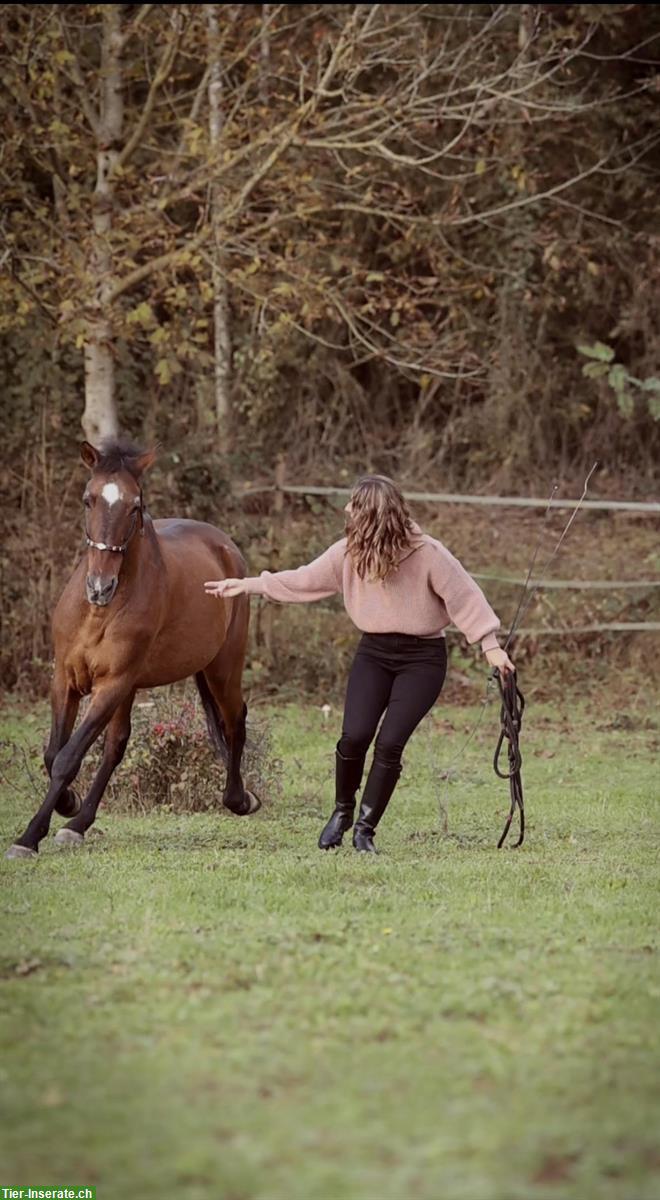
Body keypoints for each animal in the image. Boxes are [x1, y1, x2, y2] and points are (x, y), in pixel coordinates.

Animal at [7, 441, 262, 864]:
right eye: (88, 499)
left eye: (135, 505)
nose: (100, 586)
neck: (97, 613)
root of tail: (225, 547)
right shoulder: (66, 680)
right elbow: (54, 754)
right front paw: (68, 806)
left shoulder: (111, 684)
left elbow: (67, 758)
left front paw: (29, 837)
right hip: (135, 688)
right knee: (116, 746)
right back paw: (78, 825)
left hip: (221, 669)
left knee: (234, 721)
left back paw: (240, 799)